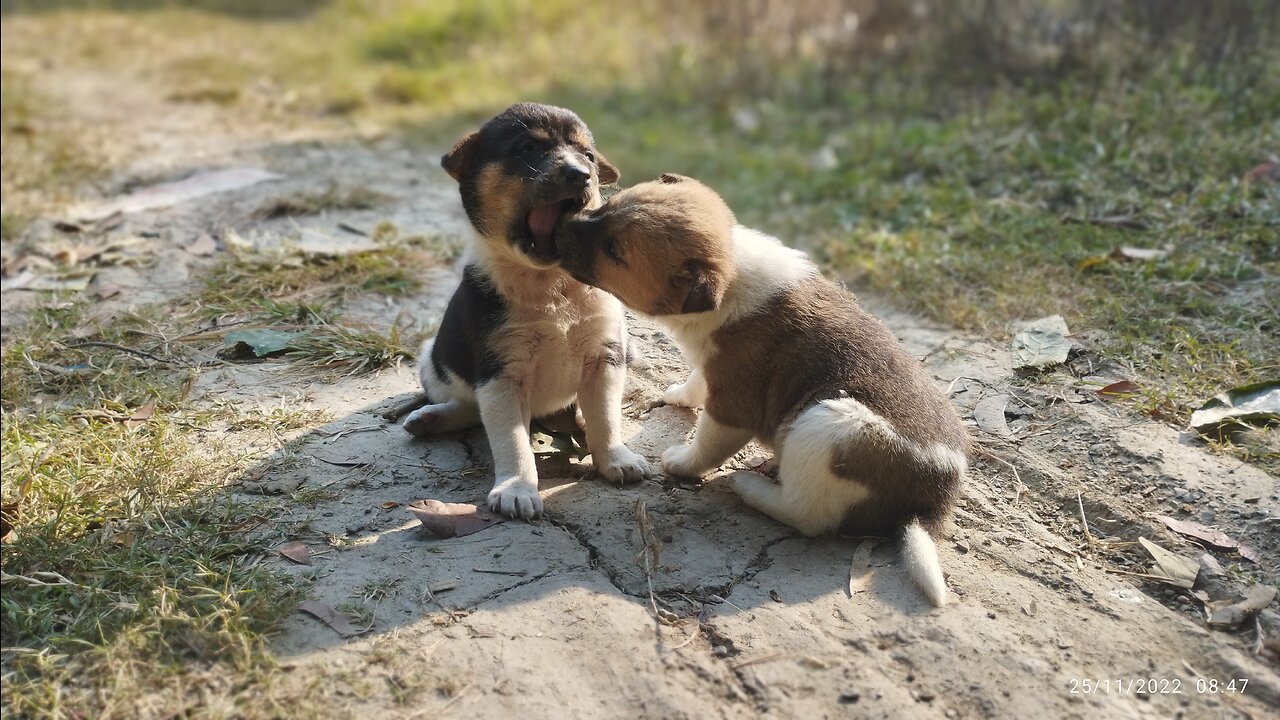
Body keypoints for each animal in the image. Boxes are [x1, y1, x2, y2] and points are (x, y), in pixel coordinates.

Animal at [404, 102, 655, 515]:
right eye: (526, 149)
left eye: (588, 156)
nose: (581, 175)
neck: (552, 287)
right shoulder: (500, 375)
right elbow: (511, 440)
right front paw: (517, 489)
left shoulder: (606, 357)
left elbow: (605, 419)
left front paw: (616, 459)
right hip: (433, 362)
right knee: (468, 407)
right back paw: (431, 418)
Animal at [555, 175, 962, 604]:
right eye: (608, 206)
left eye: (614, 250)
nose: (556, 225)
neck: (735, 272)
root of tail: (936, 494)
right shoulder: (714, 367)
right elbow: (697, 381)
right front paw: (678, 394)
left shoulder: (733, 404)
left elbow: (706, 444)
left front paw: (681, 462)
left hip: (826, 424)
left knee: (809, 515)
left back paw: (749, 486)